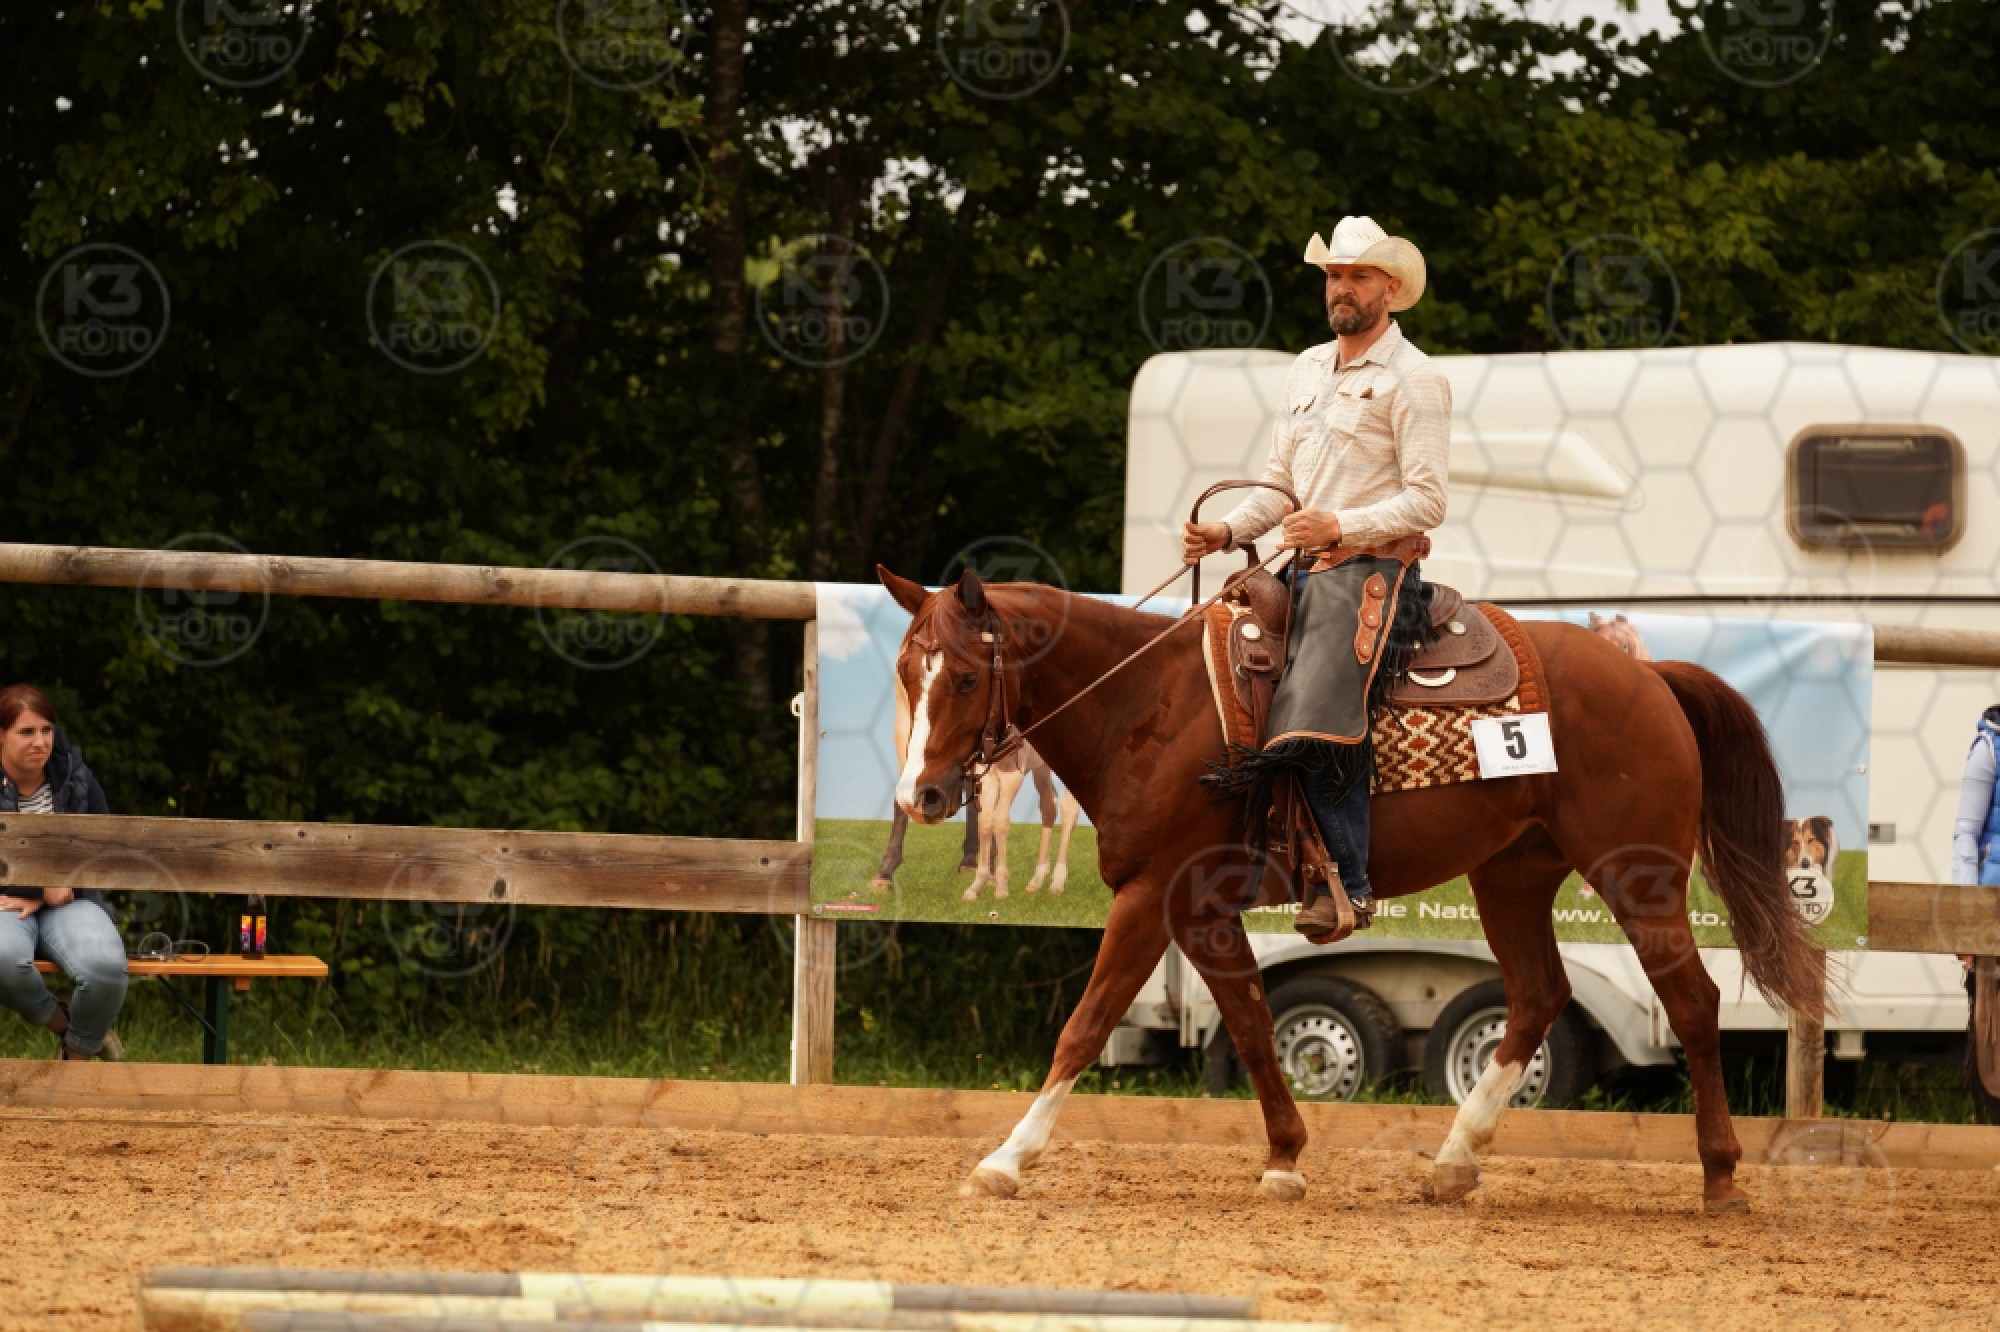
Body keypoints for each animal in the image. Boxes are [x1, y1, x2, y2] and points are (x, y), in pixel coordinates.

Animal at [878, 564, 1822, 1214]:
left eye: (966, 677)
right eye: (905, 671)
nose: (920, 796)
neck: (1148, 705)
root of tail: (1652, 676)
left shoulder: (1151, 896)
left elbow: (1086, 1024)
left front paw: (1006, 1158)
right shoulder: (1201, 909)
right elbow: (1254, 1025)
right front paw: (1285, 1160)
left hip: (1637, 873)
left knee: (1691, 1000)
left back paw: (1721, 1178)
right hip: (1512, 874)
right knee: (1537, 995)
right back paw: (1453, 1164)